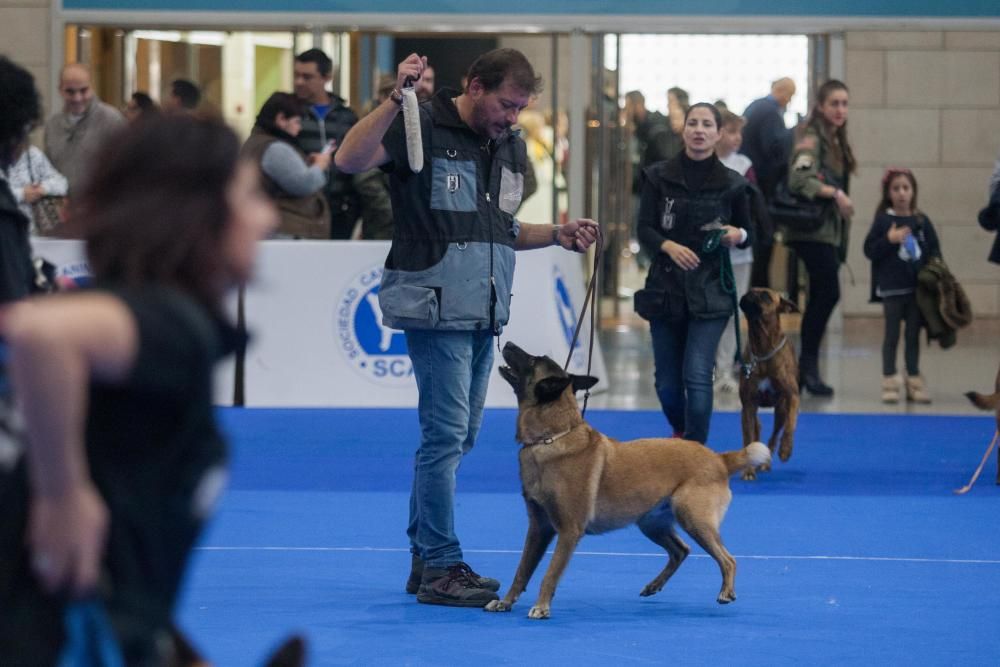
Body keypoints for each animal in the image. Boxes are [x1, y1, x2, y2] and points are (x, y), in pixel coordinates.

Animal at [486, 344, 772, 620]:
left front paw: (541, 607)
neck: (551, 437)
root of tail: (719, 458)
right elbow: (522, 570)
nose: (507, 342)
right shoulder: (539, 528)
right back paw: (654, 585)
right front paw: (506, 601)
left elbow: (550, 573)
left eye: (533, 360)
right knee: (681, 550)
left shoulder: (568, 532)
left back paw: (726, 591)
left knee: (728, 559)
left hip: (693, 519)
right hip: (651, 523)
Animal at [740, 288, 800, 480]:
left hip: (780, 409)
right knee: (756, 430)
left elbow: (790, 426)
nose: (749, 294)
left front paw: (786, 449)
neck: (762, 348)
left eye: (766, 296)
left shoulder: (792, 397)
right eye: (751, 290)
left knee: (774, 436)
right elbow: (749, 437)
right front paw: (748, 471)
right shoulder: (748, 404)